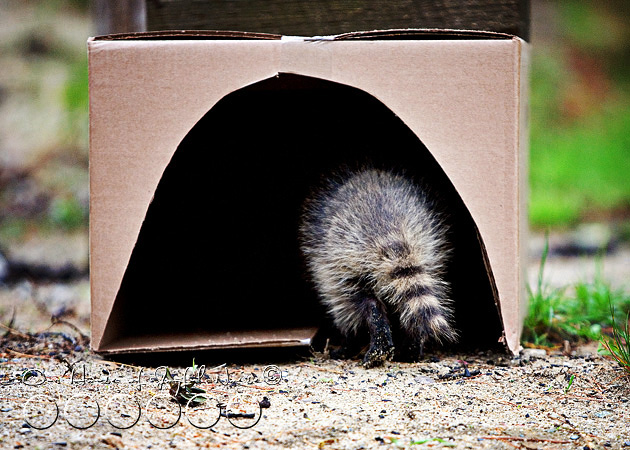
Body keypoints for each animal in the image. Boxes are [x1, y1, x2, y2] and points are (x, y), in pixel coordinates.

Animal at [302, 168, 460, 366]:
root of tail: (387, 229)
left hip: (336, 258)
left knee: (351, 303)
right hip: (429, 243)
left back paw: (356, 342)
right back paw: (412, 344)